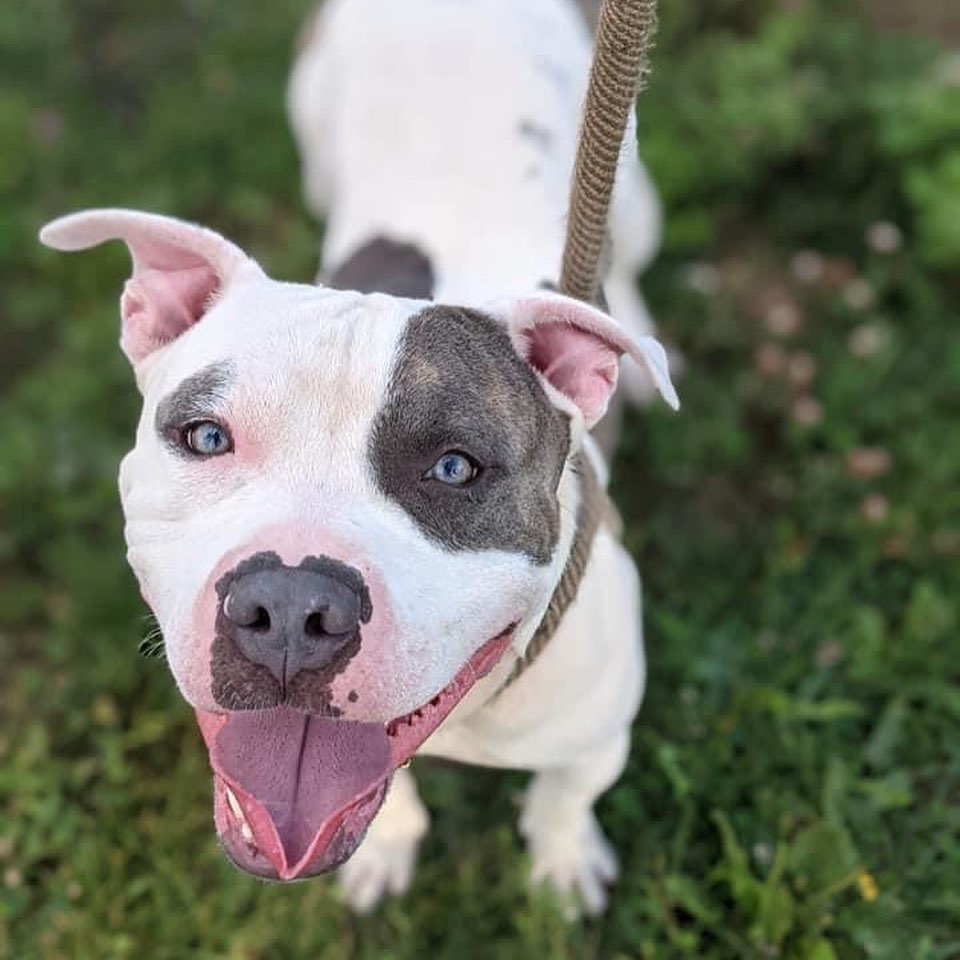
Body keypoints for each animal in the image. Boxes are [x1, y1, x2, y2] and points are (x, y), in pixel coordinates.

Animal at [41, 0, 680, 920]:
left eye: (454, 468)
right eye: (205, 436)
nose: (289, 606)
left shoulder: (598, 735)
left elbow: (564, 796)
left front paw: (562, 864)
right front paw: (387, 853)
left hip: (632, 186)